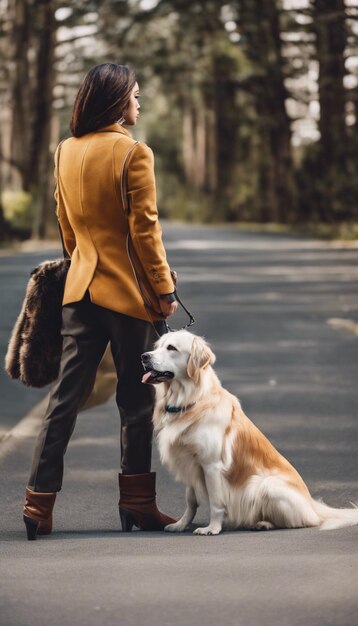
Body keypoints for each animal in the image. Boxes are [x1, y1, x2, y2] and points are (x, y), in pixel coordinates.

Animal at [141, 330, 356, 532]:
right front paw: (181, 524)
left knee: (302, 521)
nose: (144, 356)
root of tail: (312, 504)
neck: (191, 400)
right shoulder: (190, 463)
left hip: (264, 485)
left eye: (171, 348)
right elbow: (191, 501)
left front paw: (212, 528)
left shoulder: (211, 465)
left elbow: (216, 503)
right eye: (157, 346)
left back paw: (264, 523)